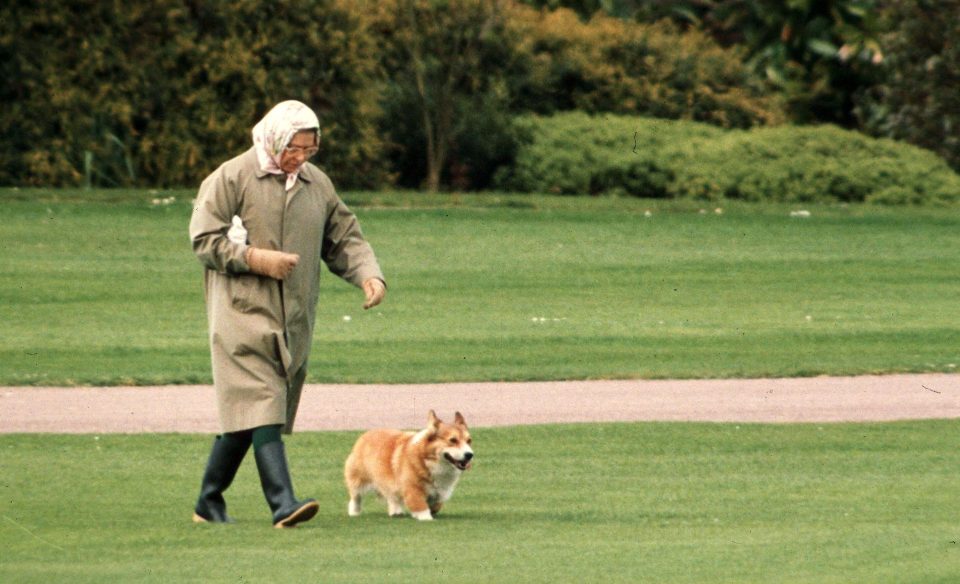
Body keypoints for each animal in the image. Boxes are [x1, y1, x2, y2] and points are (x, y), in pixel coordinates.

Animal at [344, 408, 472, 524]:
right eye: (453, 440)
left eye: (469, 441)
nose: (470, 455)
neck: (429, 460)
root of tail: (365, 434)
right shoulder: (412, 488)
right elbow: (420, 505)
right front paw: (426, 518)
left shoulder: (440, 491)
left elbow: (437, 504)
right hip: (359, 480)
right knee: (356, 497)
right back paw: (354, 512)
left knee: (392, 496)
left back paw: (396, 511)